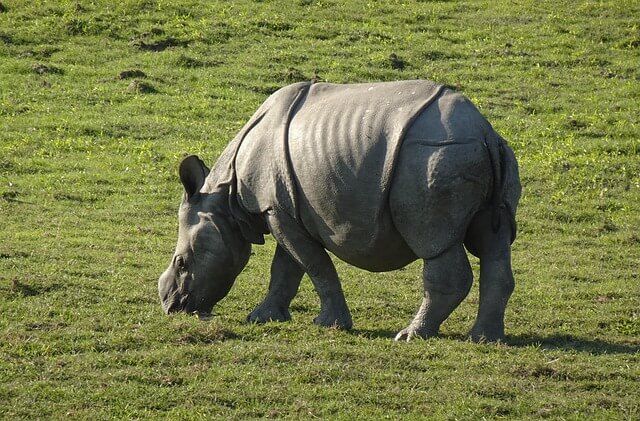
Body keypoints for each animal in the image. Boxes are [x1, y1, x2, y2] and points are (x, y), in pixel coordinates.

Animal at [158, 80, 521, 341]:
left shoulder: (275, 209)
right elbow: (286, 267)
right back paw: (485, 339)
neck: (225, 199)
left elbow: (315, 265)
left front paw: (329, 325)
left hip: (434, 156)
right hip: (480, 153)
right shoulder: (284, 210)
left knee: (434, 243)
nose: (170, 306)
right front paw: (262, 318)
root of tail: (484, 131)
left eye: (182, 262)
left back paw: (410, 336)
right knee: (494, 243)